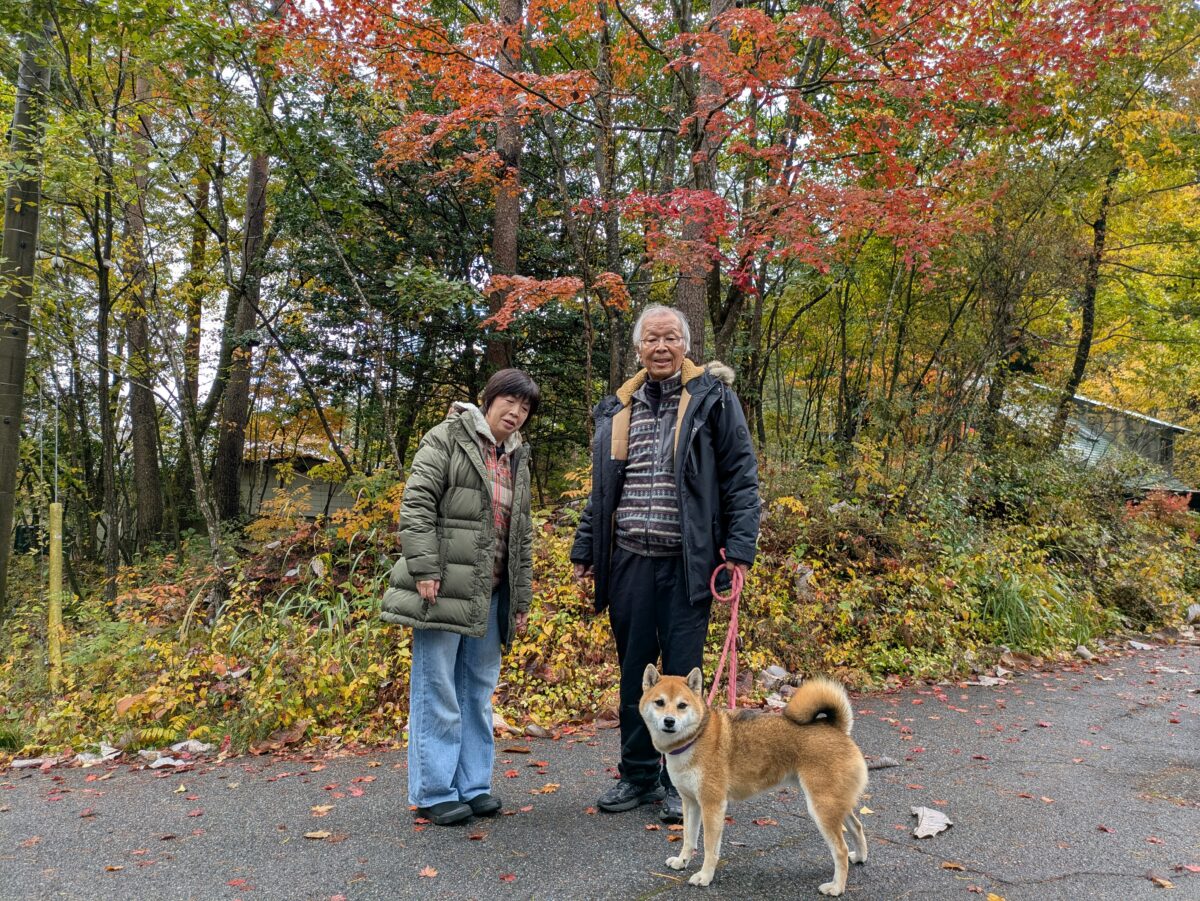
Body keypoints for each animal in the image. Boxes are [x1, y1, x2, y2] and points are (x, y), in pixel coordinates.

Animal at [639, 665, 868, 895]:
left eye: (682, 705)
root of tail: (838, 728)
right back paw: (860, 857)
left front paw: (705, 876)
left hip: (821, 808)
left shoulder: (712, 805)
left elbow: (709, 847)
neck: (695, 738)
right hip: (834, 804)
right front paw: (682, 862)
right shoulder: (690, 802)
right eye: (659, 702)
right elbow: (688, 839)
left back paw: (837, 887)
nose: (669, 721)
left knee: (840, 849)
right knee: (857, 827)